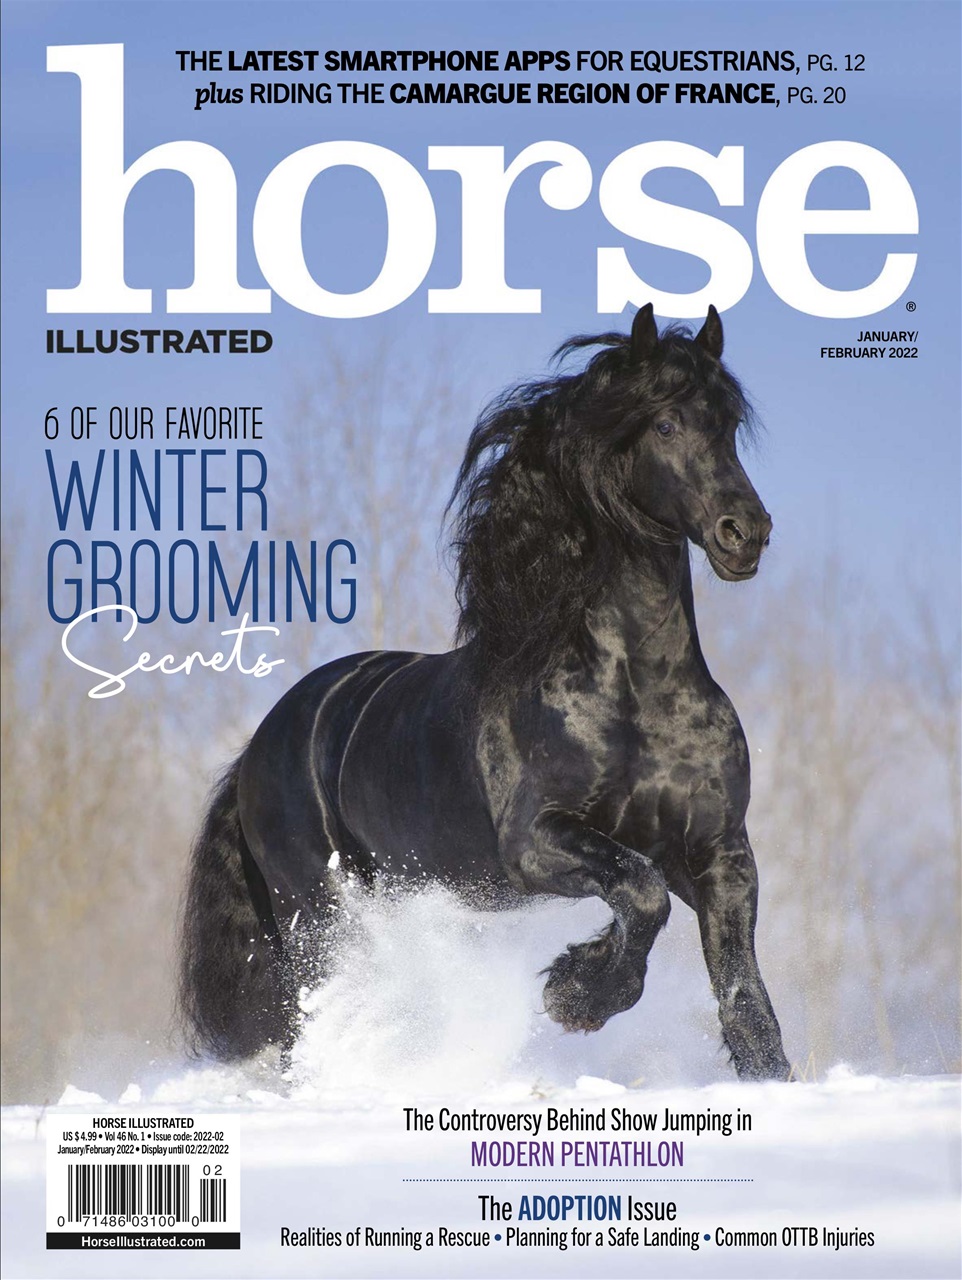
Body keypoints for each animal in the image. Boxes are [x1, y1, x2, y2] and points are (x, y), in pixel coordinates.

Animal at [179, 304, 790, 1082]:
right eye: (663, 423)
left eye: (728, 423)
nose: (745, 533)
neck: (637, 694)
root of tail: (261, 745)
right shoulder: (536, 842)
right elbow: (643, 896)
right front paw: (576, 993)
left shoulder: (718, 852)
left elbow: (744, 996)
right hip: (320, 911)